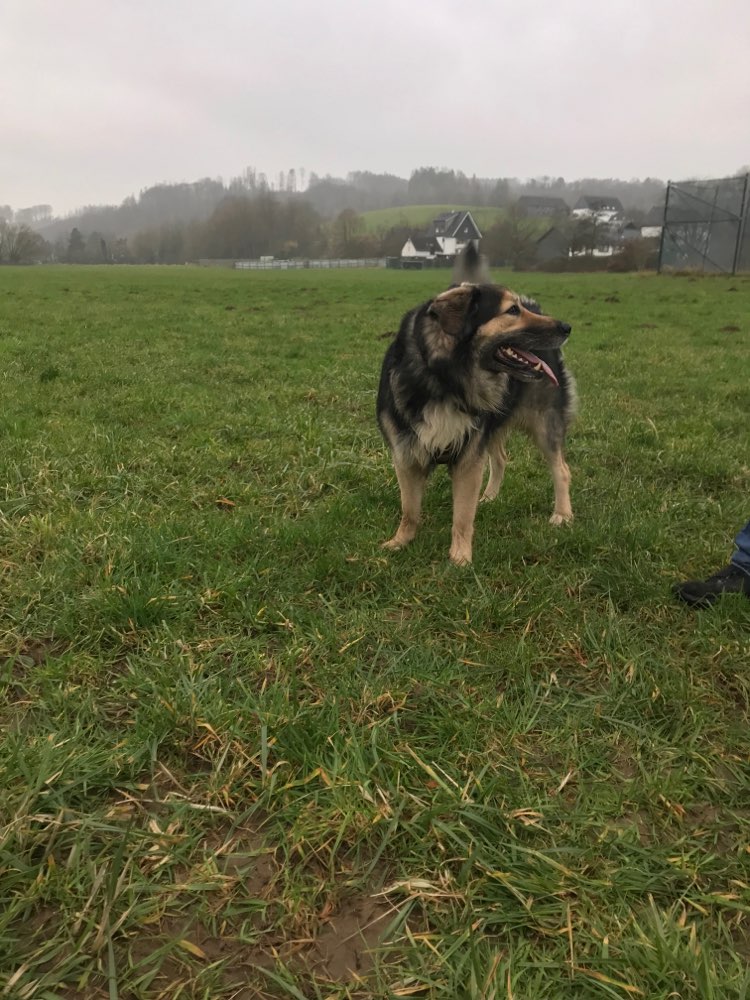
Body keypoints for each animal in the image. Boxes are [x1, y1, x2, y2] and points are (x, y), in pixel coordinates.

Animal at [378, 244, 580, 564]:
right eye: (512, 311)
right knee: (501, 459)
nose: (567, 327)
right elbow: (409, 509)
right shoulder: (406, 454)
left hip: (544, 424)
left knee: (561, 469)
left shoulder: (469, 458)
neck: (445, 381)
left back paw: (562, 514)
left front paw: (460, 558)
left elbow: (462, 515)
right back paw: (490, 496)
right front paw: (401, 541)